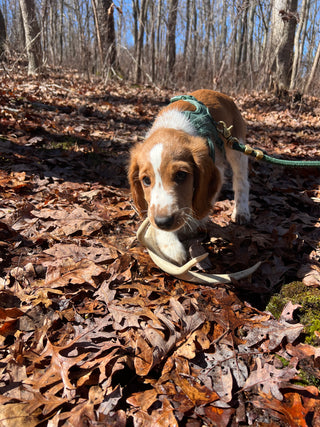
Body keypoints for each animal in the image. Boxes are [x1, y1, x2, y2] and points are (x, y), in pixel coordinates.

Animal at [128, 89, 250, 266]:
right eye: (146, 180)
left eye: (181, 175)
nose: (163, 222)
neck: (172, 126)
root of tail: (219, 93)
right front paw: (170, 244)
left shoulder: (216, 167)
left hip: (237, 147)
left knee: (242, 182)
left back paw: (242, 211)